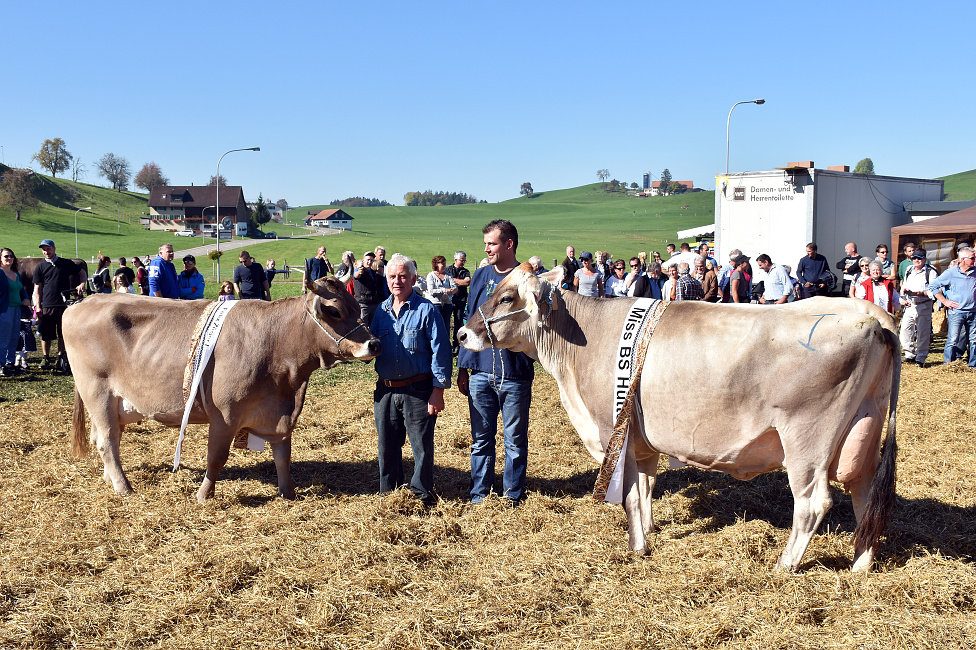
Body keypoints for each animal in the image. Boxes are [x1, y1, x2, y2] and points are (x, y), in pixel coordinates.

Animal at [63, 276, 380, 504]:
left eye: (356, 305)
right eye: (333, 310)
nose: (374, 343)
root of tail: (81, 302)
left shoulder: (280, 414)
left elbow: (283, 456)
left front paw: (288, 493)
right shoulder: (225, 416)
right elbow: (216, 457)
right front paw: (204, 495)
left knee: (102, 439)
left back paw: (110, 479)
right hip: (97, 391)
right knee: (107, 441)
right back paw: (123, 487)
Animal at [458, 262, 900, 568]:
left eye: (507, 298)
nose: (462, 334)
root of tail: (872, 315)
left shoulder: (614, 429)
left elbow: (630, 495)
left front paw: (637, 547)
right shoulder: (642, 437)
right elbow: (646, 488)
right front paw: (649, 531)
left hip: (807, 440)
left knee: (813, 503)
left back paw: (785, 565)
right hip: (864, 427)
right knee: (865, 494)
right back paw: (861, 564)